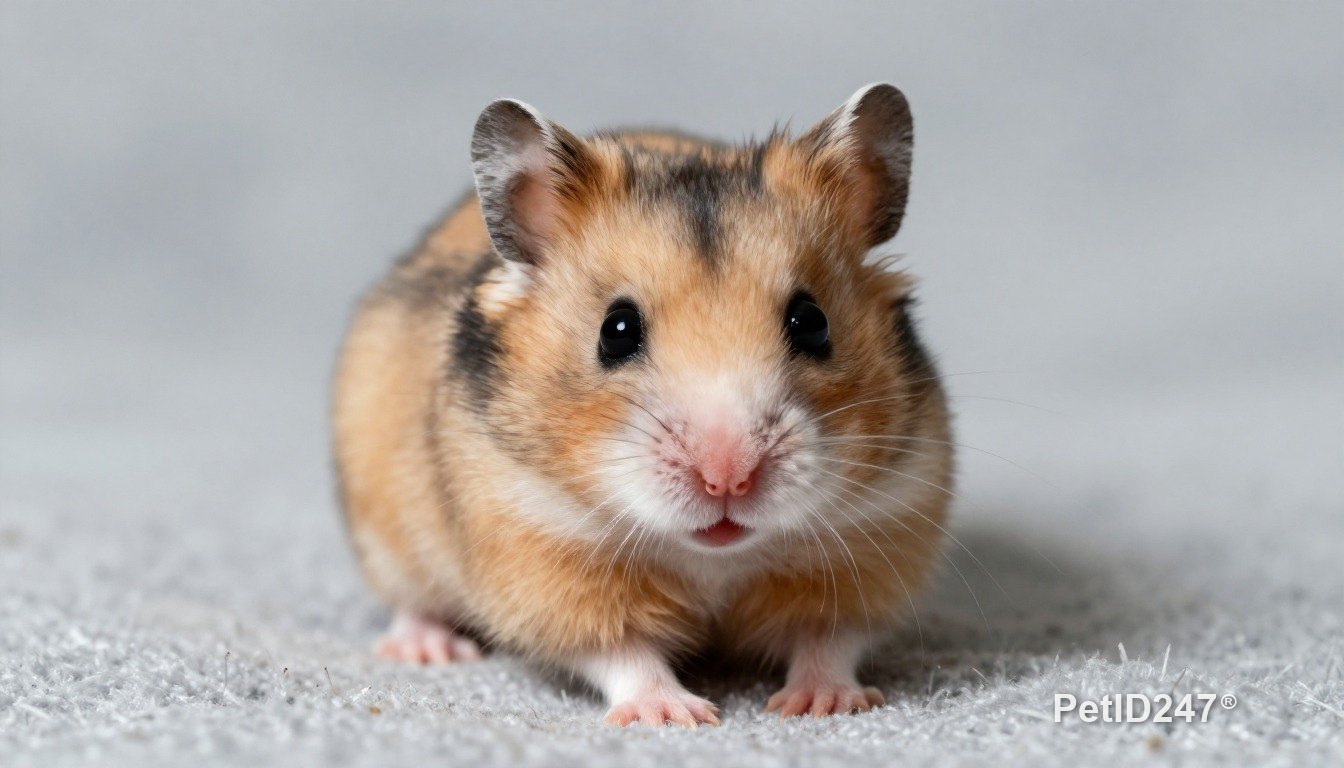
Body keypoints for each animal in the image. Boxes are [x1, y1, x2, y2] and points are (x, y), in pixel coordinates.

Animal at [332, 83, 953, 726]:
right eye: (617, 330)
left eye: (812, 322)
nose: (727, 479)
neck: (714, 560)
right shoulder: (541, 554)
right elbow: (622, 651)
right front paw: (679, 715)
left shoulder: (880, 533)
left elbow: (827, 639)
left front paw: (823, 706)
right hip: (384, 531)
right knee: (410, 599)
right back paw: (428, 650)